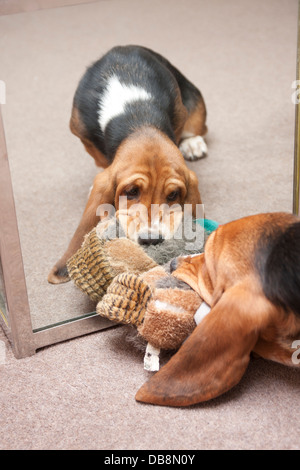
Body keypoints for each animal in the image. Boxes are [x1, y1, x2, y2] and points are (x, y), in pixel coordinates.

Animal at [48, 46, 207, 284]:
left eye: (173, 195)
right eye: (131, 191)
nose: (151, 240)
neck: (138, 120)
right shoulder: (81, 131)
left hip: (192, 100)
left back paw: (192, 143)